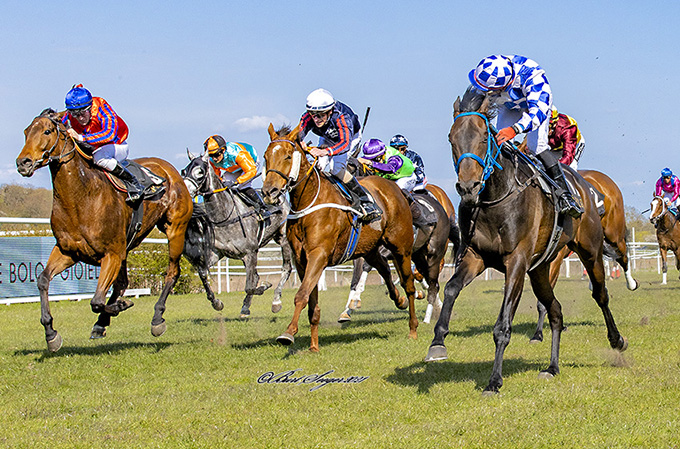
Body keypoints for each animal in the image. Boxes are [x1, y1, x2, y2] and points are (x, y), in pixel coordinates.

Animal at [13, 107, 194, 350]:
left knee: (172, 272)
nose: (23, 163)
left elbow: (97, 300)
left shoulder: (111, 253)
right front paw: (51, 333)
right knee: (122, 283)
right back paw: (102, 323)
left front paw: (119, 307)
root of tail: (170, 170)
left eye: (47, 131)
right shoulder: (69, 251)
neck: (81, 198)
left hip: (175, 229)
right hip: (126, 247)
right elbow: (42, 280)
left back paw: (157, 318)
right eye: (26, 132)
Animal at [182, 151, 294, 318]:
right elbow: (202, 272)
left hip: (283, 239)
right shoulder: (219, 253)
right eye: (184, 171)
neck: (225, 215)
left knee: (286, 268)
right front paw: (217, 303)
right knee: (256, 275)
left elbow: (250, 286)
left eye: (200, 172)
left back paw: (276, 301)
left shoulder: (250, 252)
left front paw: (265, 286)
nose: (185, 191)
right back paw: (246, 307)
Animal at [262, 124, 418, 352]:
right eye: (266, 157)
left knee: (409, 285)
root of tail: (394, 188)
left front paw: (288, 333)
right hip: (368, 248)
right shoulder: (302, 260)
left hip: (401, 247)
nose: (269, 192)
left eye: (288, 156)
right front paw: (314, 346)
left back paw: (413, 327)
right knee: (383, 268)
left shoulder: (318, 254)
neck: (309, 200)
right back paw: (399, 300)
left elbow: (301, 294)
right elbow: (312, 302)